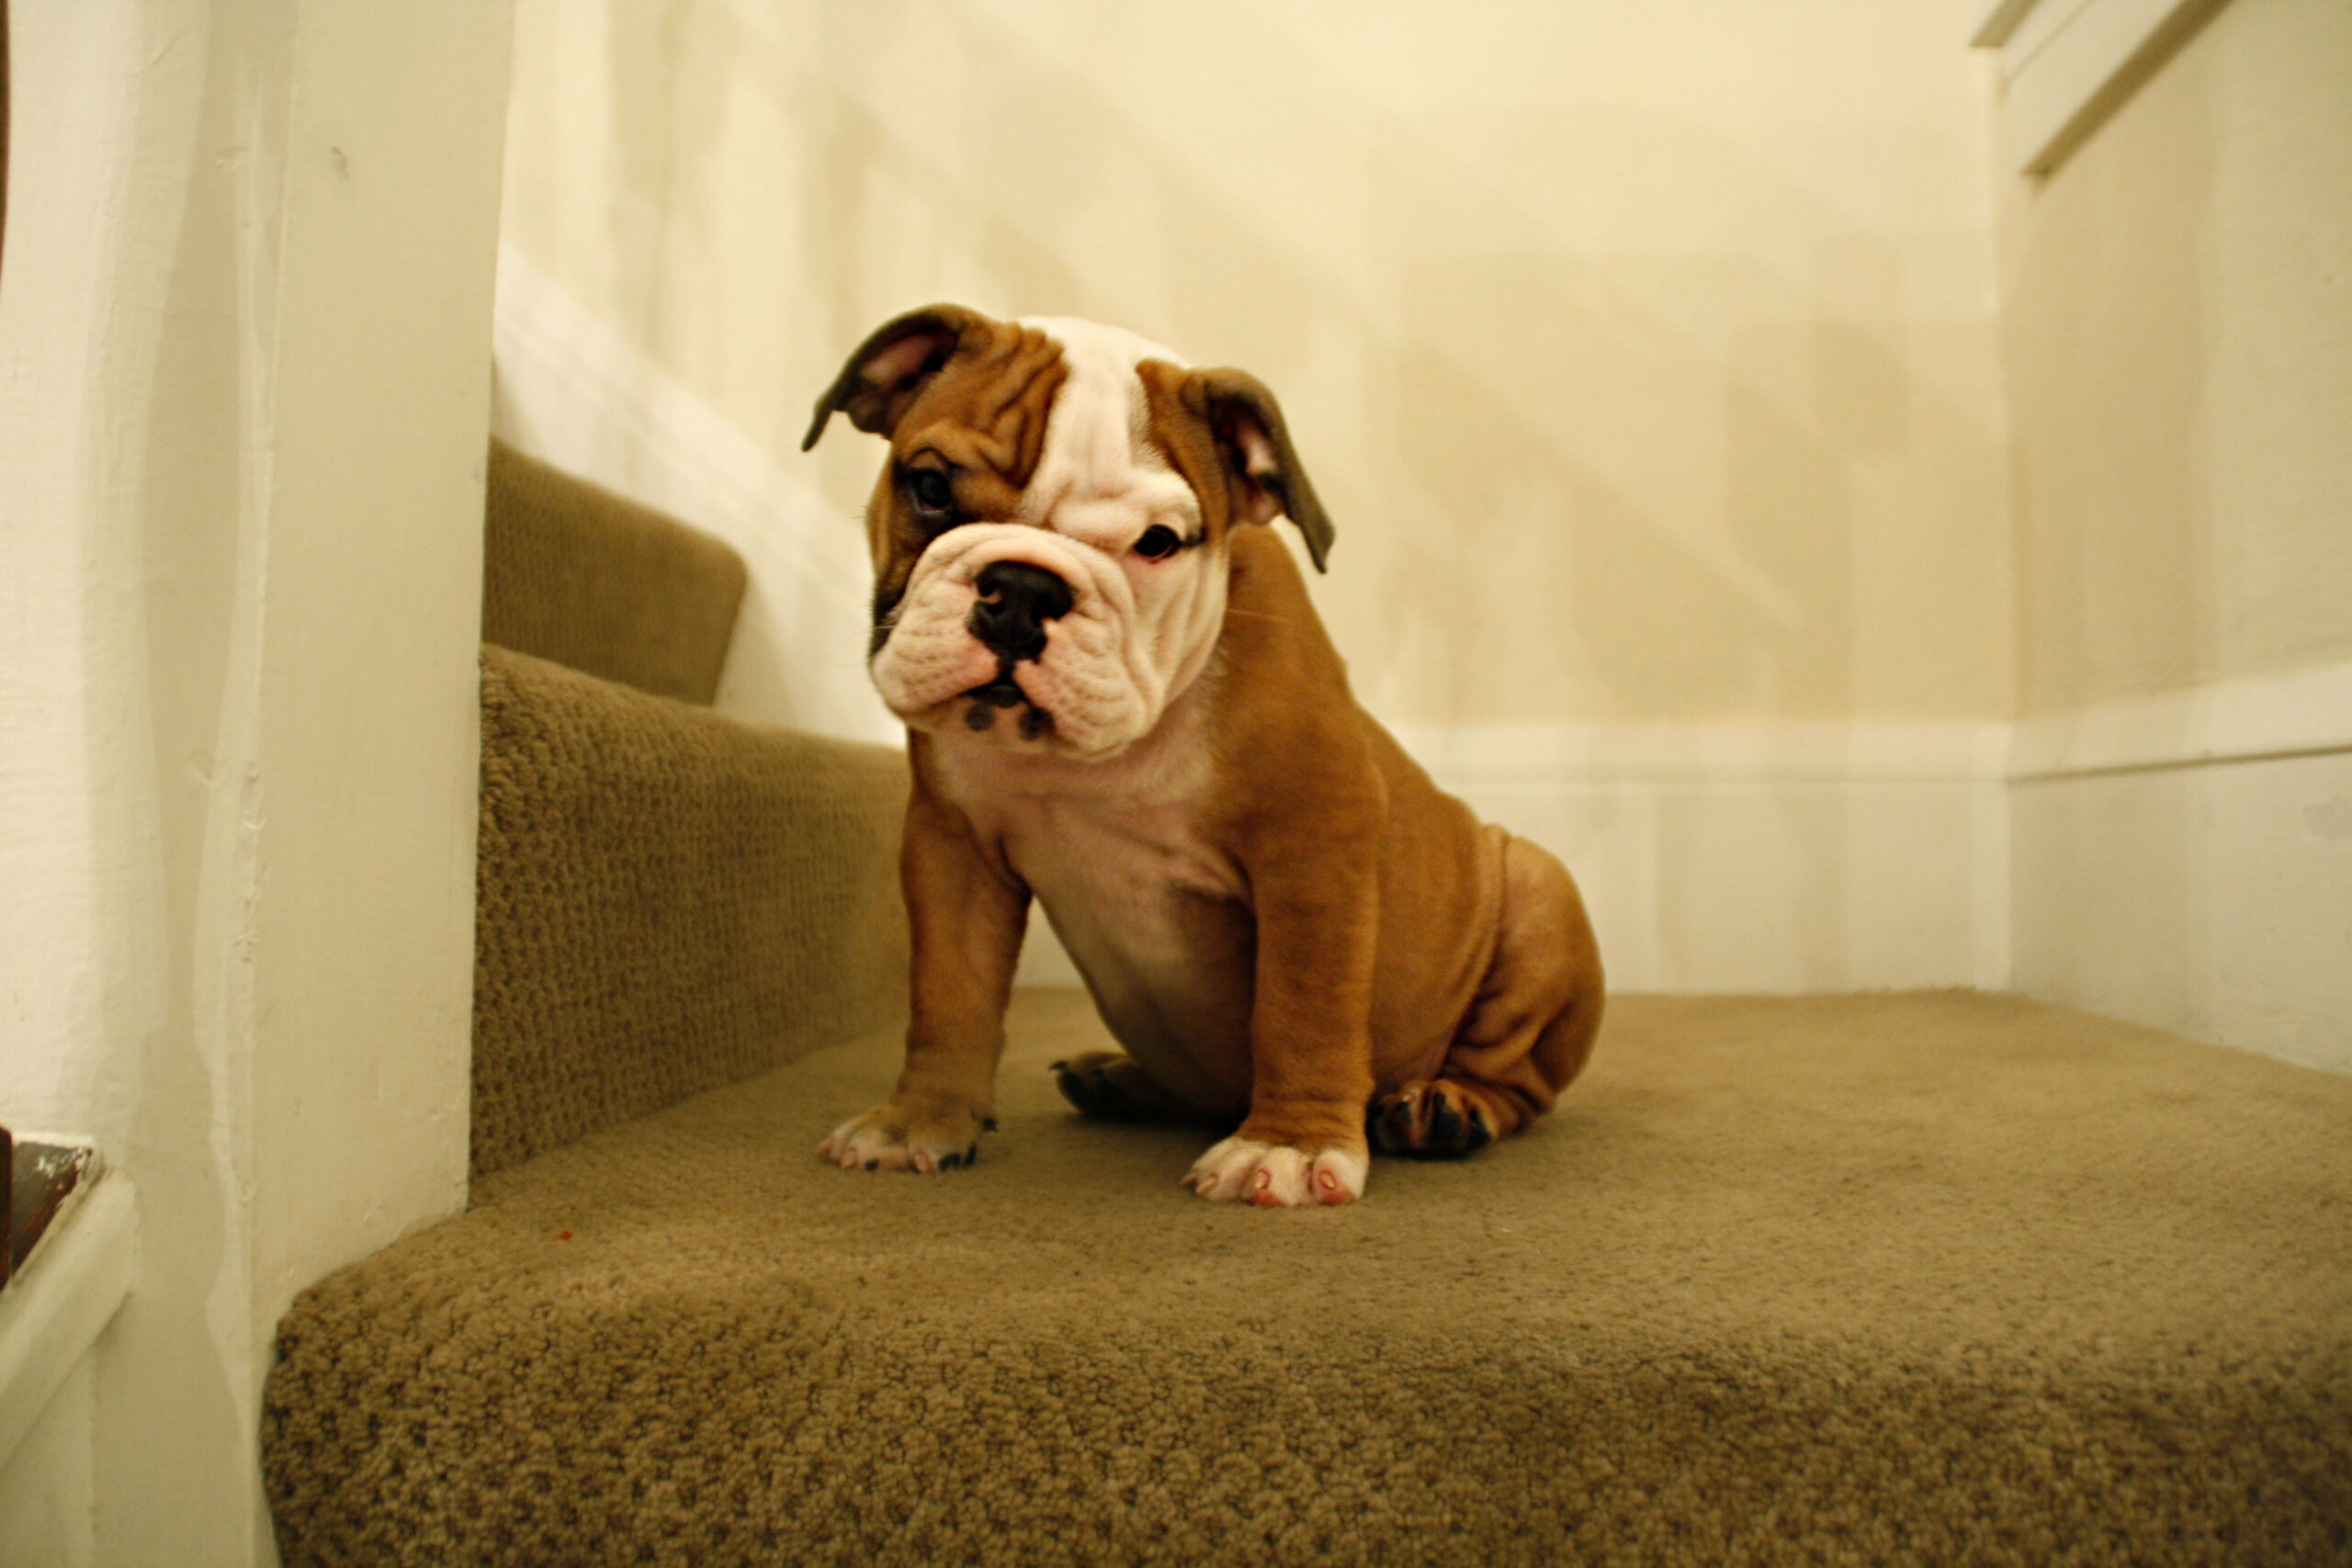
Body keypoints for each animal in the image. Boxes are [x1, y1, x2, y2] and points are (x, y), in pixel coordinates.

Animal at [804, 310, 1599, 1213]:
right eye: (930, 486)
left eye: (1159, 543)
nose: (1023, 589)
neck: (1094, 755)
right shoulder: (954, 850)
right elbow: (949, 996)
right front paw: (918, 1122)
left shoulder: (1312, 845)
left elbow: (1302, 1006)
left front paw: (1287, 1146)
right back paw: (1116, 1076)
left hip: (1541, 893)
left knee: (1518, 1078)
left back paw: (1447, 1107)